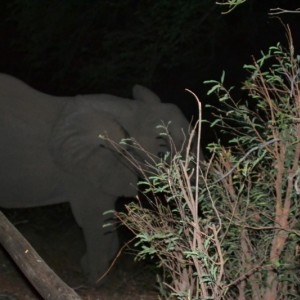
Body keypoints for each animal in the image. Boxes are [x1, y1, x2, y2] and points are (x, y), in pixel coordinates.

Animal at [0, 72, 192, 284]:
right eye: (161, 153)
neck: (129, 112)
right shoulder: (85, 172)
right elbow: (95, 221)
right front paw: (95, 280)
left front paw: (89, 269)